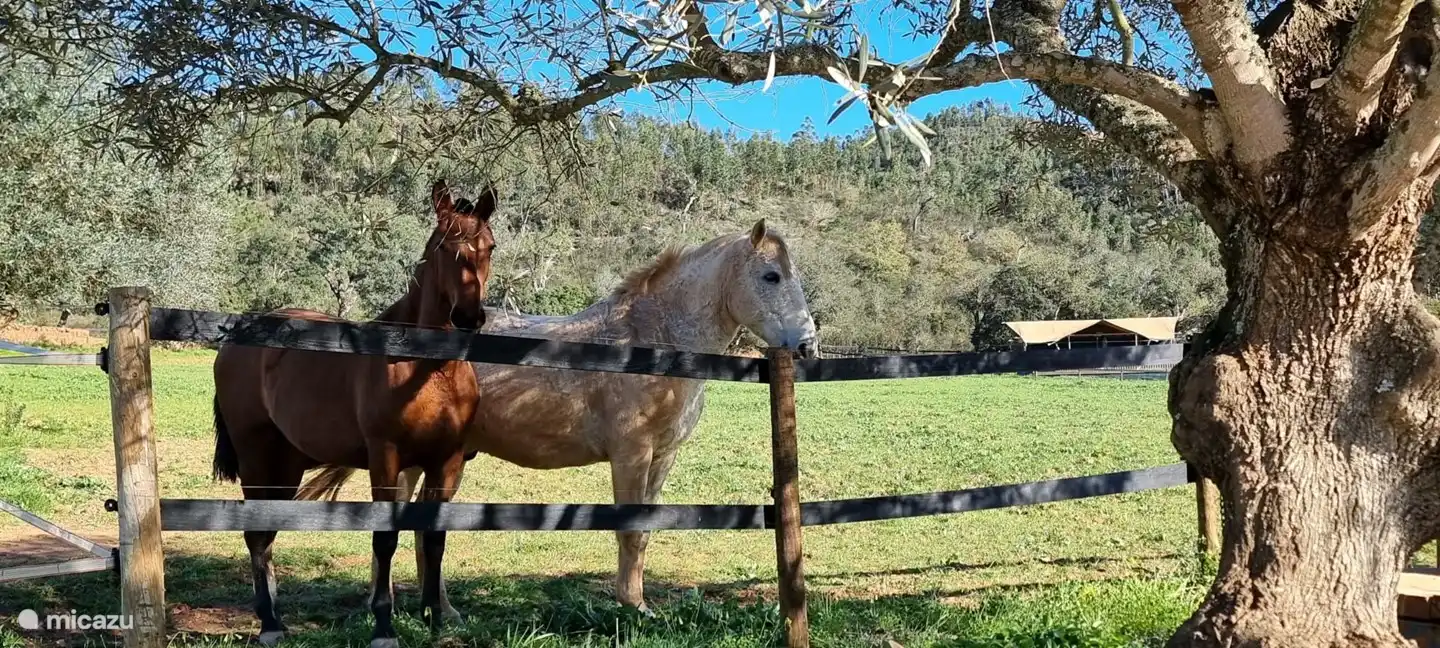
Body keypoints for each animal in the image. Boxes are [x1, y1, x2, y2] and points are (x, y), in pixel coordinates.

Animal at [210, 179, 497, 648]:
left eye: (488, 246)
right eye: (444, 247)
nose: (468, 317)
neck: (427, 369)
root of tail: (238, 336)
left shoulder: (447, 462)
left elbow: (434, 538)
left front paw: (436, 619)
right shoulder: (386, 458)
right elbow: (385, 540)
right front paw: (383, 626)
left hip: (287, 464)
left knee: (267, 531)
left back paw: (274, 615)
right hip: (256, 455)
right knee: (255, 532)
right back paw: (269, 623)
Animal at [304, 219, 819, 617]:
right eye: (771, 276)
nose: (807, 345)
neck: (653, 341)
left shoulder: (662, 459)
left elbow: (645, 533)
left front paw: (638, 603)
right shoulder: (631, 456)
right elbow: (630, 530)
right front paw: (632, 607)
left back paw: (437, 609)